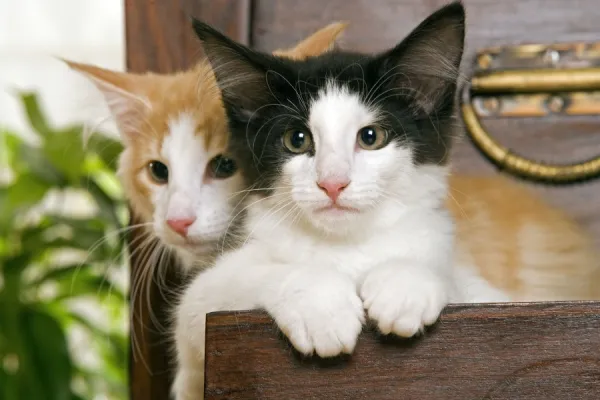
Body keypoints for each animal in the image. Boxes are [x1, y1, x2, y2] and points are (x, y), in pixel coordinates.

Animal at [172, 2, 464, 396]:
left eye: (371, 136)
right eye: (297, 139)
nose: (332, 183)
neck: (344, 245)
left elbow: (448, 276)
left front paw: (405, 283)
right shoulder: (199, 314)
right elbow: (221, 290)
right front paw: (321, 305)